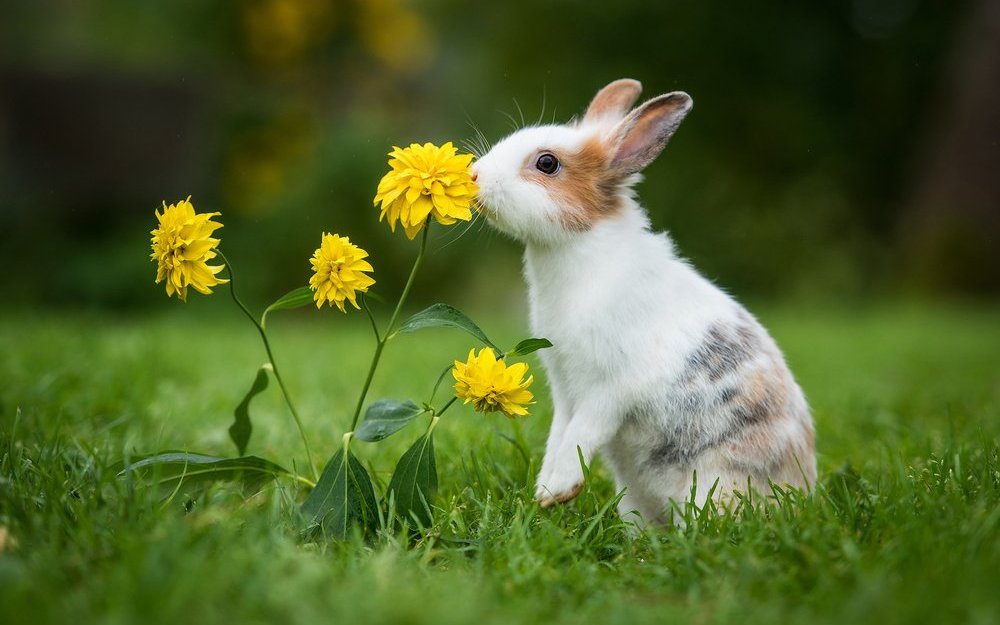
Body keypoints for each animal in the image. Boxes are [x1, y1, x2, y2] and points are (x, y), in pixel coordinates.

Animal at [472, 79, 816, 528]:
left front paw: (556, 490)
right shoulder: (564, 387)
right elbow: (560, 433)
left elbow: (582, 432)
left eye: (547, 163)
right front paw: (546, 490)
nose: (474, 175)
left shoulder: (609, 388)